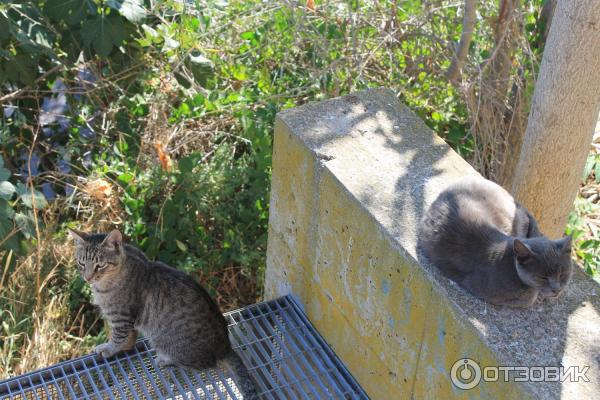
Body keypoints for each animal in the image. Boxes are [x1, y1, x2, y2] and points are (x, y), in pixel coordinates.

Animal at [70, 227, 258, 398]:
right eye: (81, 264)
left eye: (100, 265)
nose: (87, 278)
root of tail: (225, 347)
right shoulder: (128, 320)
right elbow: (129, 337)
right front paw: (125, 346)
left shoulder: (121, 317)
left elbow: (117, 338)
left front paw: (109, 348)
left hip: (164, 341)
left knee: (202, 363)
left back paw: (165, 360)